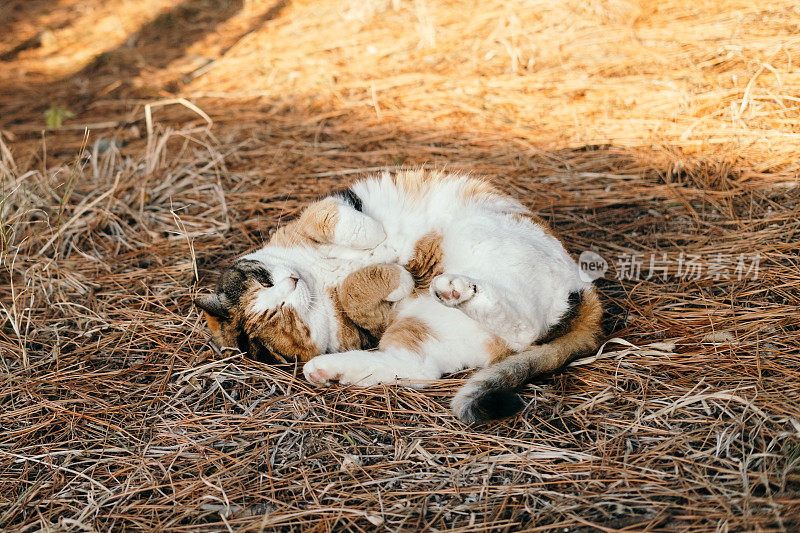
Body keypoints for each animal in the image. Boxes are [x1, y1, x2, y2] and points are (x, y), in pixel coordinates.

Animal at [197, 168, 604, 422]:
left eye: (265, 282)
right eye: (283, 317)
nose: (292, 283)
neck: (319, 277)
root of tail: (584, 290)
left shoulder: (323, 212)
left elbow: (338, 222)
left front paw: (383, 250)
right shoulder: (368, 325)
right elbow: (354, 293)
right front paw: (396, 277)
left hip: (478, 231)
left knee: (522, 327)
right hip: (422, 326)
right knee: (429, 364)